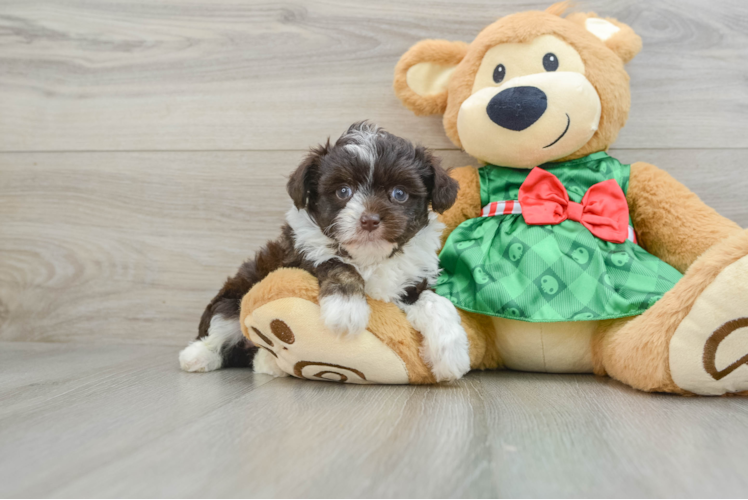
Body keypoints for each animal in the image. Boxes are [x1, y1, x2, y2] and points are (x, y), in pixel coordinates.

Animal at [179, 123, 470, 380]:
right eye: (343, 191)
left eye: (399, 194)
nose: (369, 220)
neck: (369, 257)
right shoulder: (299, 255)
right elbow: (337, 264)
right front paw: (346, 309)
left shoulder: (412, 280)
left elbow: (436, 302)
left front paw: (452, 355)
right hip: (235, 296)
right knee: (222, 329)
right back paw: (197, 356)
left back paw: (267, 362)